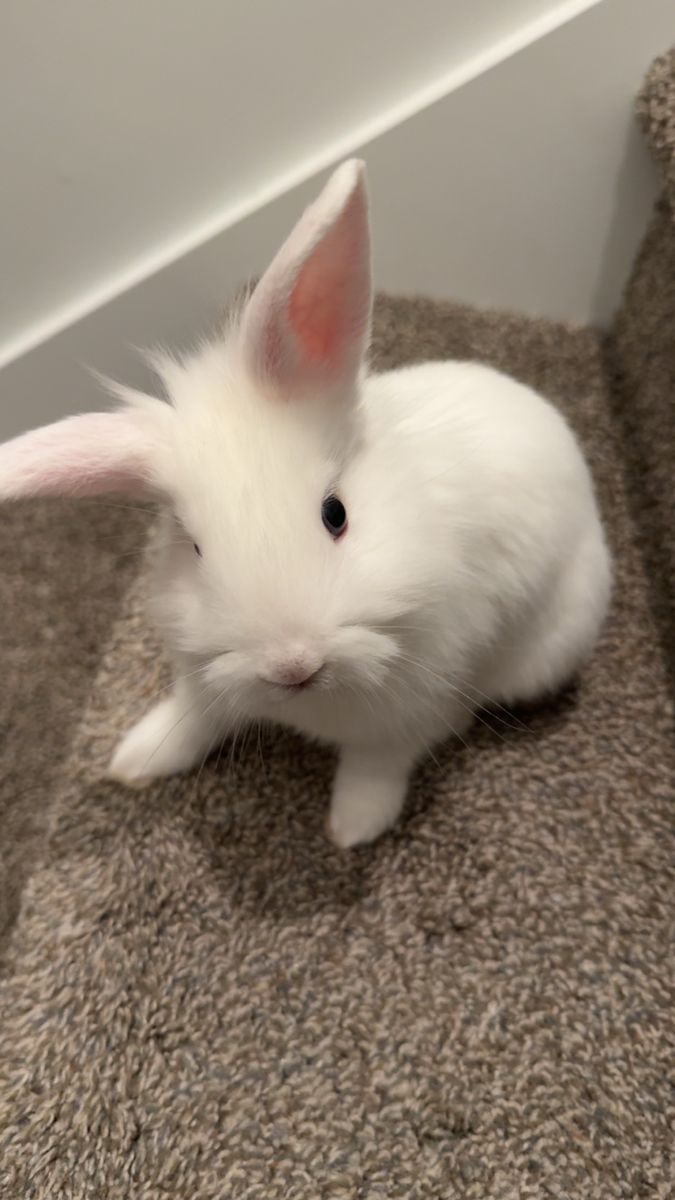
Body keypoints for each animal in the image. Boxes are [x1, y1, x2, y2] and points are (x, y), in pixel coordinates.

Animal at [0, 159, 611, 848]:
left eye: (335, 514)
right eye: (193, 546)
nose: (292, 666)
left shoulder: (416, 711)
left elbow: (377, 765)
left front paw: (352, 830)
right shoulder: (203, 679)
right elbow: (192, 719)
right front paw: (136, 760)